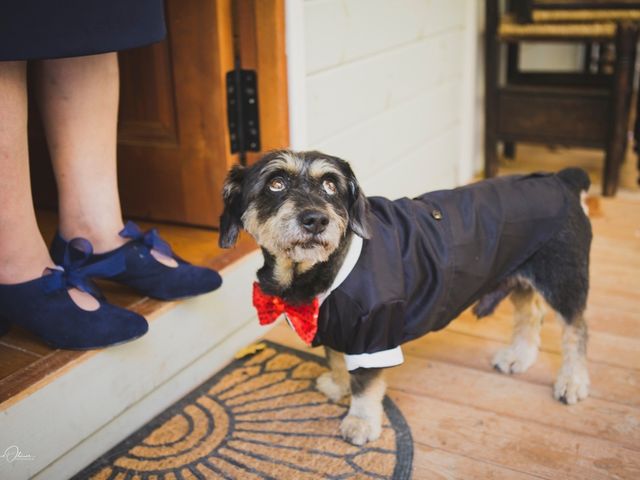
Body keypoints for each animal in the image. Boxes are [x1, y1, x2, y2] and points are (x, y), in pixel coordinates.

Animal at [221, 151, 596, 446]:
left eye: (330, 185)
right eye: (275, 183)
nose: (316, 220)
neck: (321, 268)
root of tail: (563, 180)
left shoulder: (372, 334)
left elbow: (365, 385)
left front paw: (360, 421)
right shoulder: (330, 323)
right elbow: (336, 358)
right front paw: (338, 384)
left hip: (564, 279)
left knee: (576, 331)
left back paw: (573, 381)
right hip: (521, 273)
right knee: (530, 314)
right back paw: (519, 356)